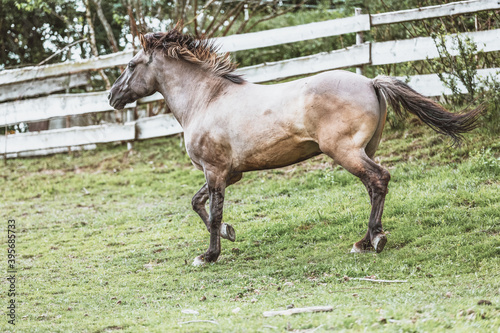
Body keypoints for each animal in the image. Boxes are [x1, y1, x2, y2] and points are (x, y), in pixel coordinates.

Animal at [108, 27, 480, 266]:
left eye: (130, 65)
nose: (111, 97)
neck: (206, 99)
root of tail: (371, 81)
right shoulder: (229, 173)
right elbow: (198, 204)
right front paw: (230, 234)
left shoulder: (215, 171)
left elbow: (212, 214)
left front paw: (209, 256)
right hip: (363, 150)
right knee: (375, 187)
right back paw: (368, 238)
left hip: (345, 152)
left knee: (379, 180)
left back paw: (370, 241)